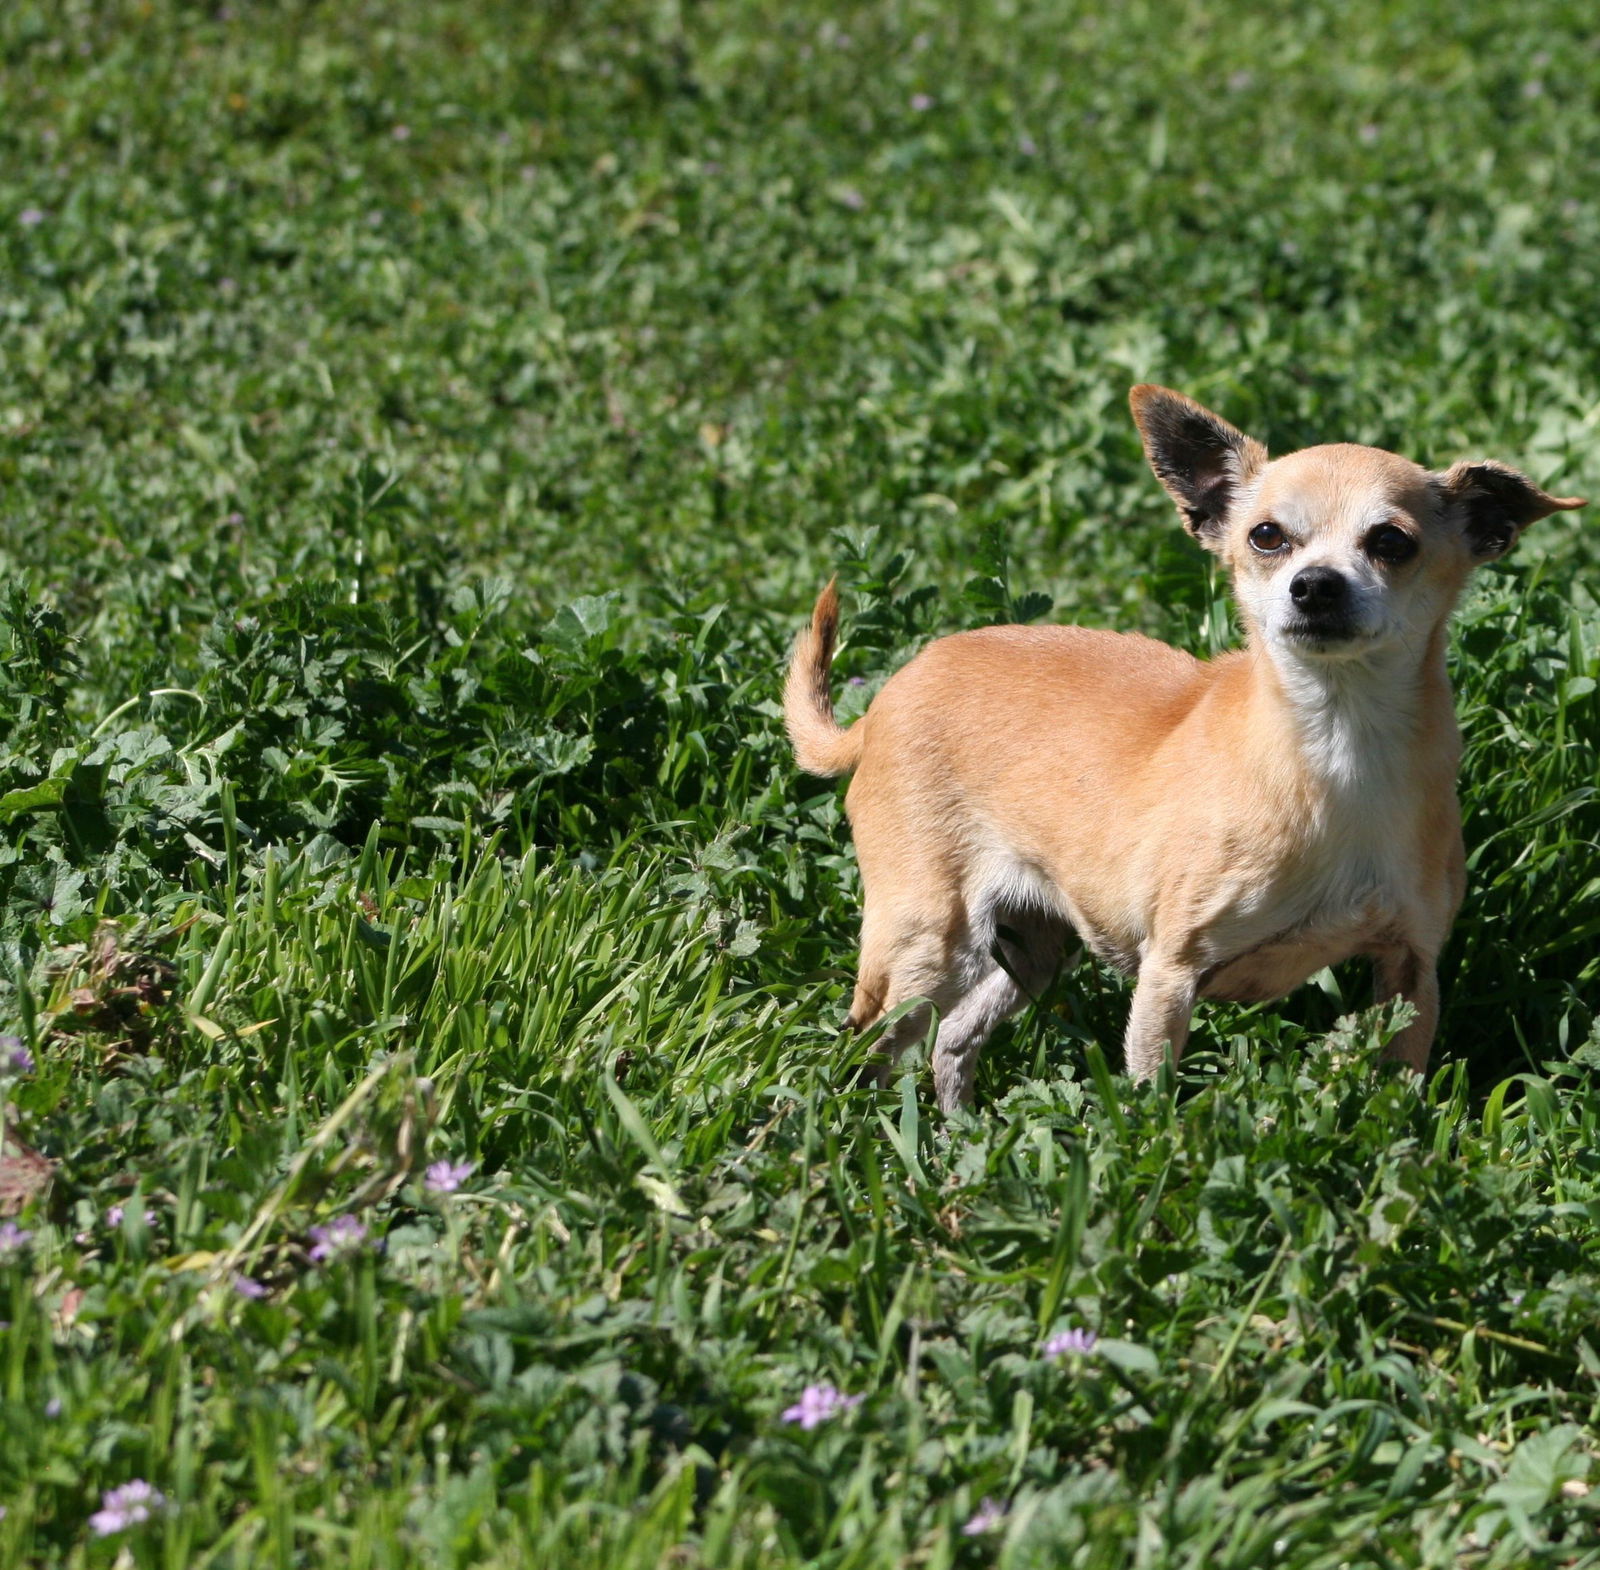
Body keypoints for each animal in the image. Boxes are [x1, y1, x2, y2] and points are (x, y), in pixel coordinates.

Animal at [780, 385, 1580, 1107]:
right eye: (1267, 536)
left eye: (1392, 542)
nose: (1315, 585)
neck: (1334, 746)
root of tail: (882, 703)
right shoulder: (1170, 973)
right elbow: (1152, 1098)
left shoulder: (1411, 968)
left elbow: (1400, 1092)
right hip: (925, 945)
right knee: (865, 1050)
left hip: (1030, 950)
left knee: (951, 1039)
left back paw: (956, 1140)